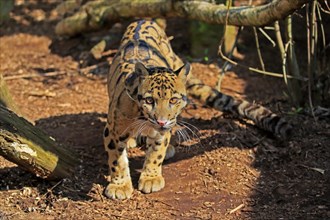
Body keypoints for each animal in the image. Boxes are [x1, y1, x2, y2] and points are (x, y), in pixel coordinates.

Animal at [103, 20, 292, 199]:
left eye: (173, 100)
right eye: (149, 100)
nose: (162, 121)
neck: (143, 118)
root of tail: (145, 20)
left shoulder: (161, 131)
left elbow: (156, 153)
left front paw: (151, 177)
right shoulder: (112, 131)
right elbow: (117, 161)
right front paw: (119, 186)